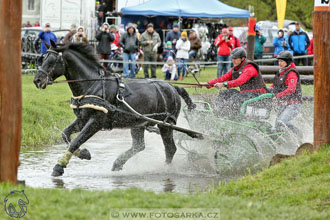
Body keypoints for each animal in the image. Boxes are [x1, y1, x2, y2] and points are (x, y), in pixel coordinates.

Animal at [34, 41, 196, 178]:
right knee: (139, 146)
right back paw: (118, 164)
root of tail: (171, 87)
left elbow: (76, 141)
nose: (37, 80)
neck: (93, 85)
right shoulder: (82, 119)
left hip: (165, 125)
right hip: (138, 123)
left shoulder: (96, 122)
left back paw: (165, 169)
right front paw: (83, 153)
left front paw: (59, 166)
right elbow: (65, 135)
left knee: (170, 148)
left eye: (51, 61)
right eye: (42, 59)